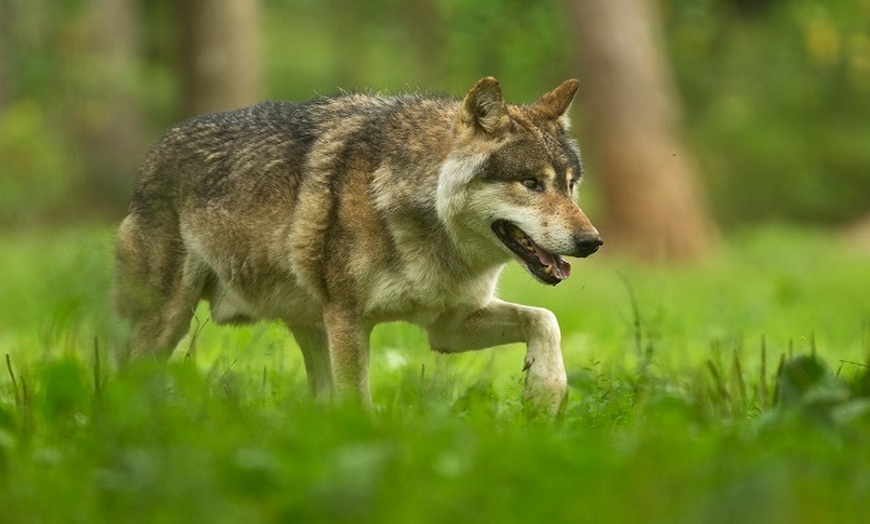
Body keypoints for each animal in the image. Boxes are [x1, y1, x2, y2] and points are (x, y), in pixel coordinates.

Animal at [114, 75, 608, 416]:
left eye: (569, 186)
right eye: (531, 184)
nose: (592, 242)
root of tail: (152, 153)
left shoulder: (448, 327)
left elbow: (546, 320)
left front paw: (544, 394)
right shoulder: (349, 320)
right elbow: (358, 404)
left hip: (310, 328)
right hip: (167, 322)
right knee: (128, 377)